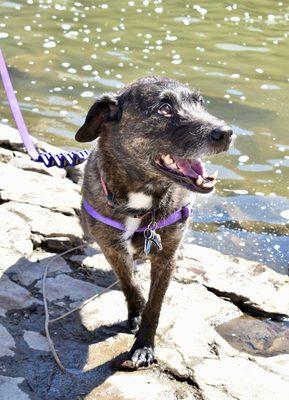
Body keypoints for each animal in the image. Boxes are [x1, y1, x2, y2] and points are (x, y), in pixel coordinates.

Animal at [75, 75, 232, 368]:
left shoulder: (166, 257)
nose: (226, 132)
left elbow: (155, 305)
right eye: (164, 108)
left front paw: (144, 346)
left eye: (200, 102)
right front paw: (135, 313)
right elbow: (130, 284)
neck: (141, 200)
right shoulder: (112, 249)